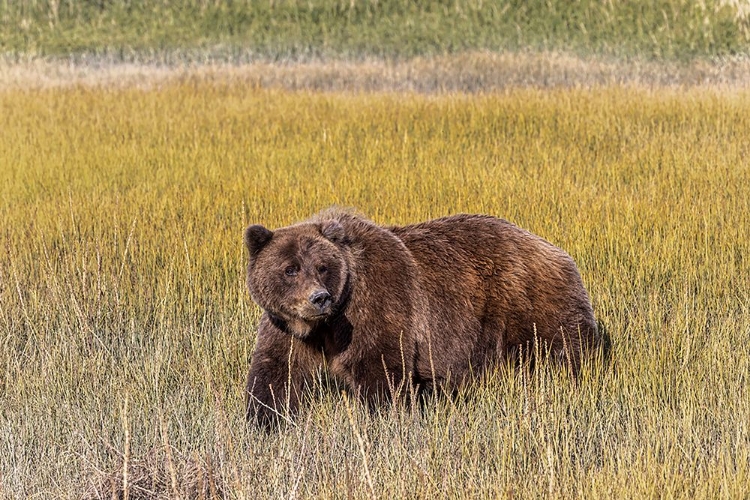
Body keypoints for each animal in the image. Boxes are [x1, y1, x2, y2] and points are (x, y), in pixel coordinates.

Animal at [245, 208, 600, 426]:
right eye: (290, 269)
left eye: (322, 267)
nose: (319, 298)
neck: (326, 324)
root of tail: (551, 246)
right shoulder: (287, 327)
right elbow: (275, 370)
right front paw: (263, 422)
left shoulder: (376, 305)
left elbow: (380, 368)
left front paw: (384, 419)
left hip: (530, 301)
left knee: (566, 347)